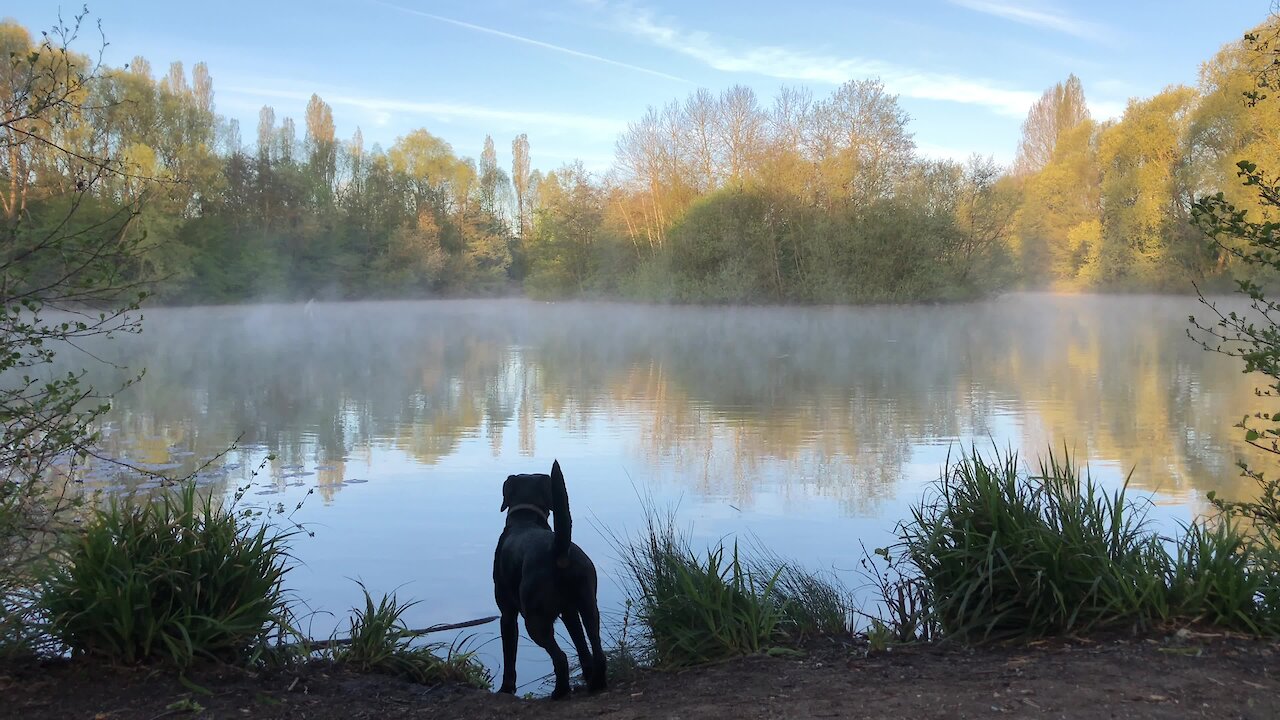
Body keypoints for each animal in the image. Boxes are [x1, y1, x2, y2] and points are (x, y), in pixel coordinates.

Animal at [491, 456, 606, 696]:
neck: (525, 519)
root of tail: (559, 550)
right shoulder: (569, 611)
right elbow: (581, 646)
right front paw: (587, 673)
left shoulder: (507, 614)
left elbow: (509, 657)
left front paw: (506, 689)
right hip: (589, 605)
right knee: (597, 648)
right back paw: (596, 682)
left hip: (534, 619)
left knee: (560, 657)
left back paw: (560, 692)